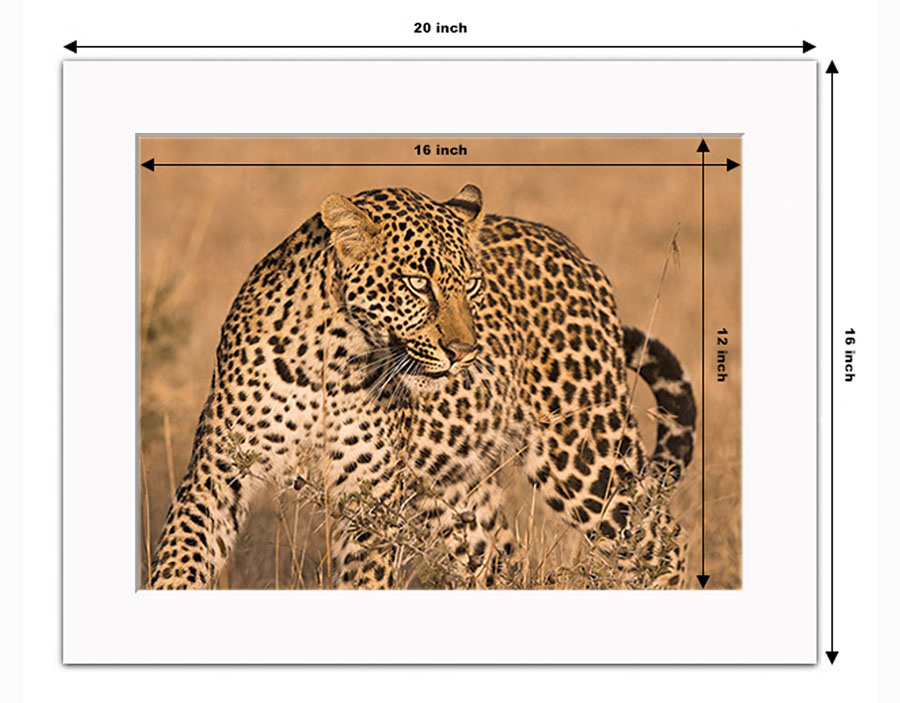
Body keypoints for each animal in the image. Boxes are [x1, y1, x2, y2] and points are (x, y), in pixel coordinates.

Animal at [149, 184, 696, 590]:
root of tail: (577, 253)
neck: (331, 358)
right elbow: (179, 559)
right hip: (454, 494)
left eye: (472, 285)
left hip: (584, 453)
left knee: (661, 540)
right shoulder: (217, 472)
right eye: (417, 282)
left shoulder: (370, 496)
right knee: (497, 564)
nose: (465, 351)